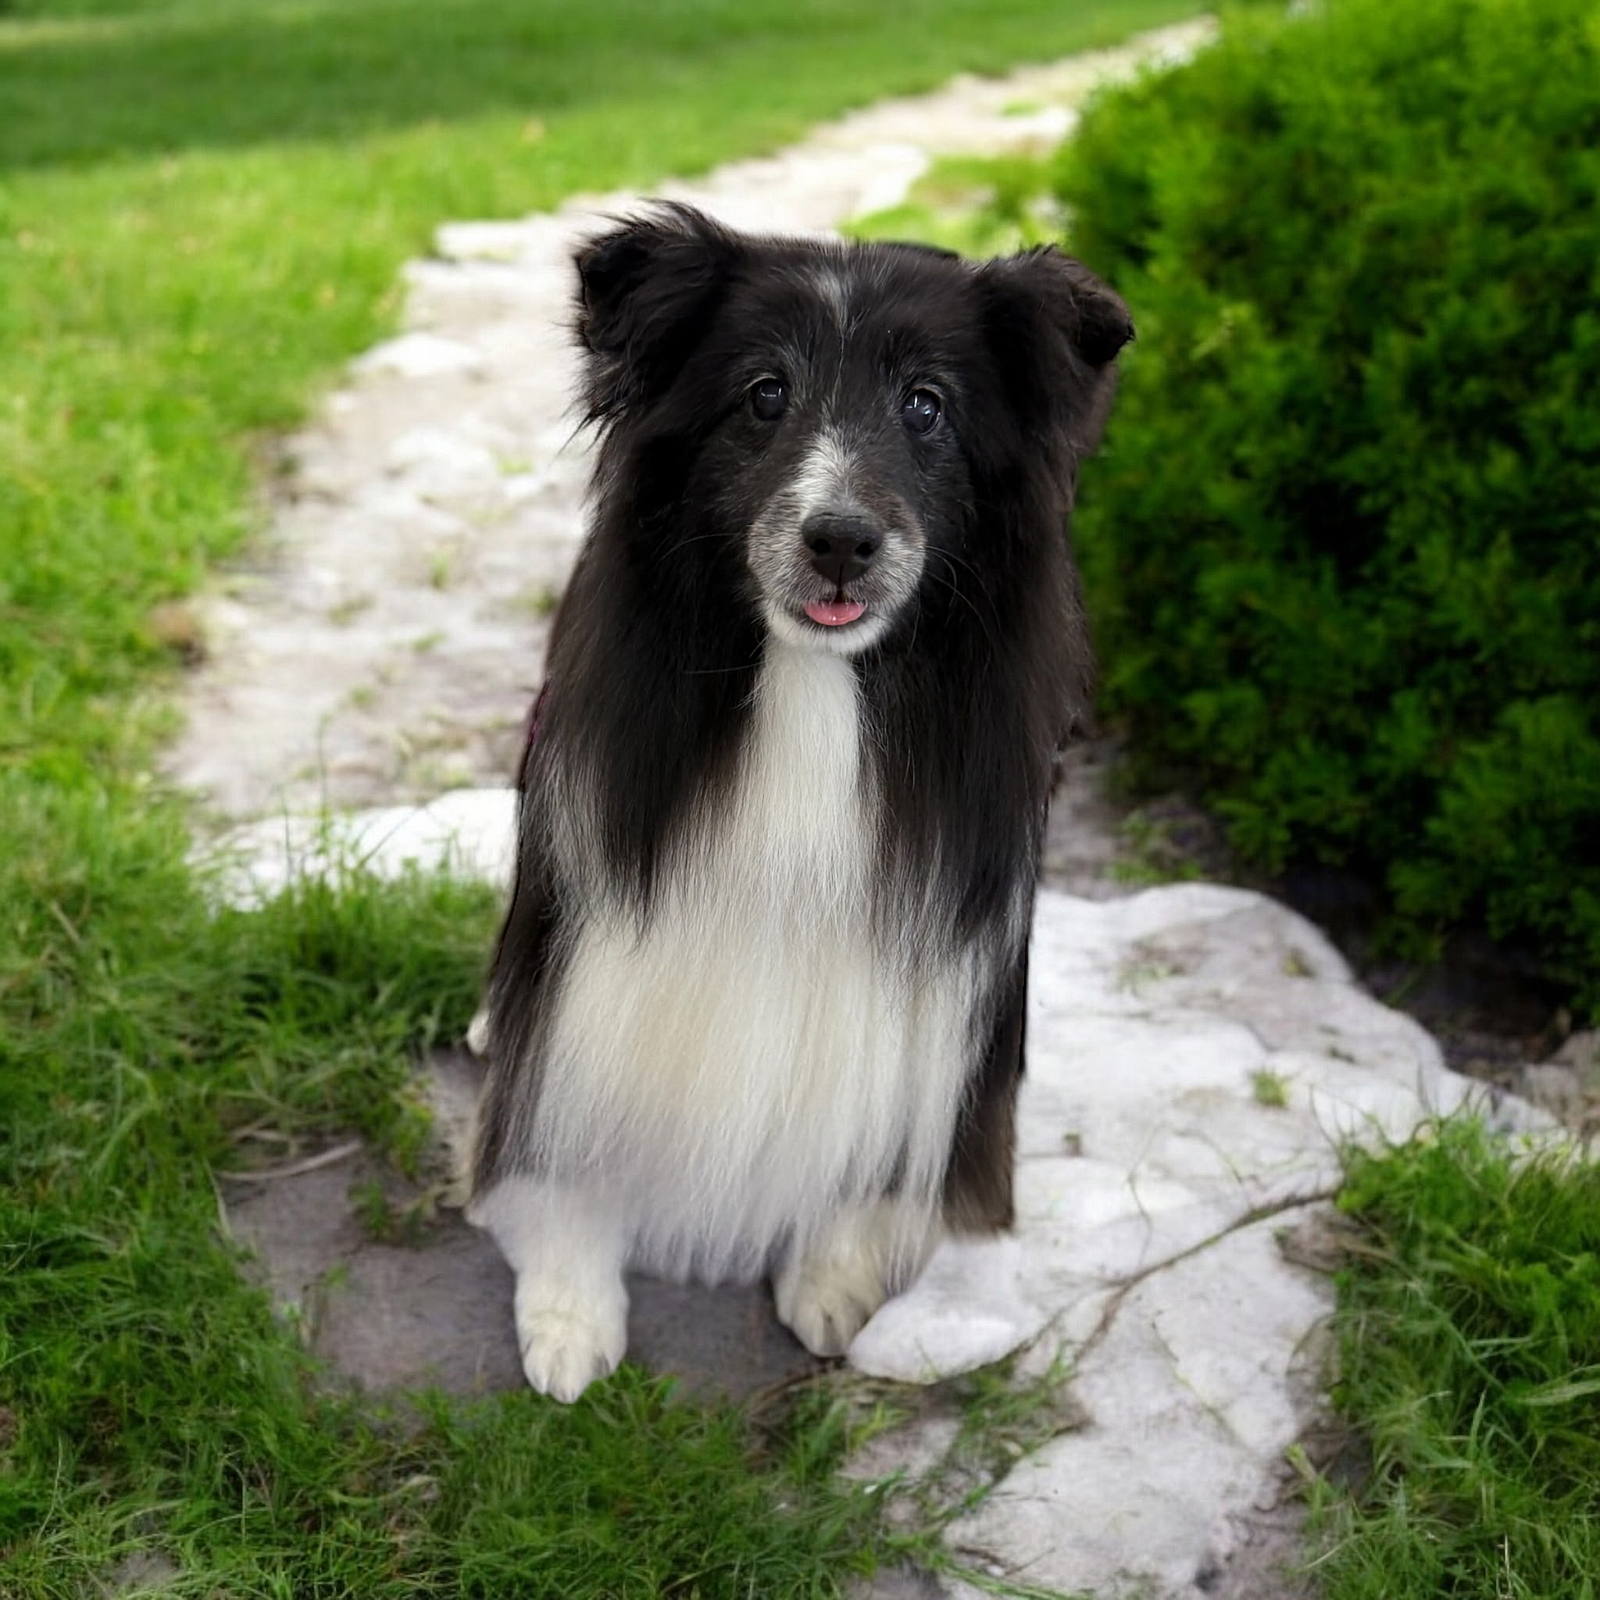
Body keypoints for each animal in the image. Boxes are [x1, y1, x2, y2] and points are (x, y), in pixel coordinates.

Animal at [467, 203, 1131, 1401]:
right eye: (763, 393)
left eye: (928, 405)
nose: (840, 539)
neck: (817, 685)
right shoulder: (593, 924)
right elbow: (558, 1110)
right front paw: (569, 1313)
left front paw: (838, 1274)